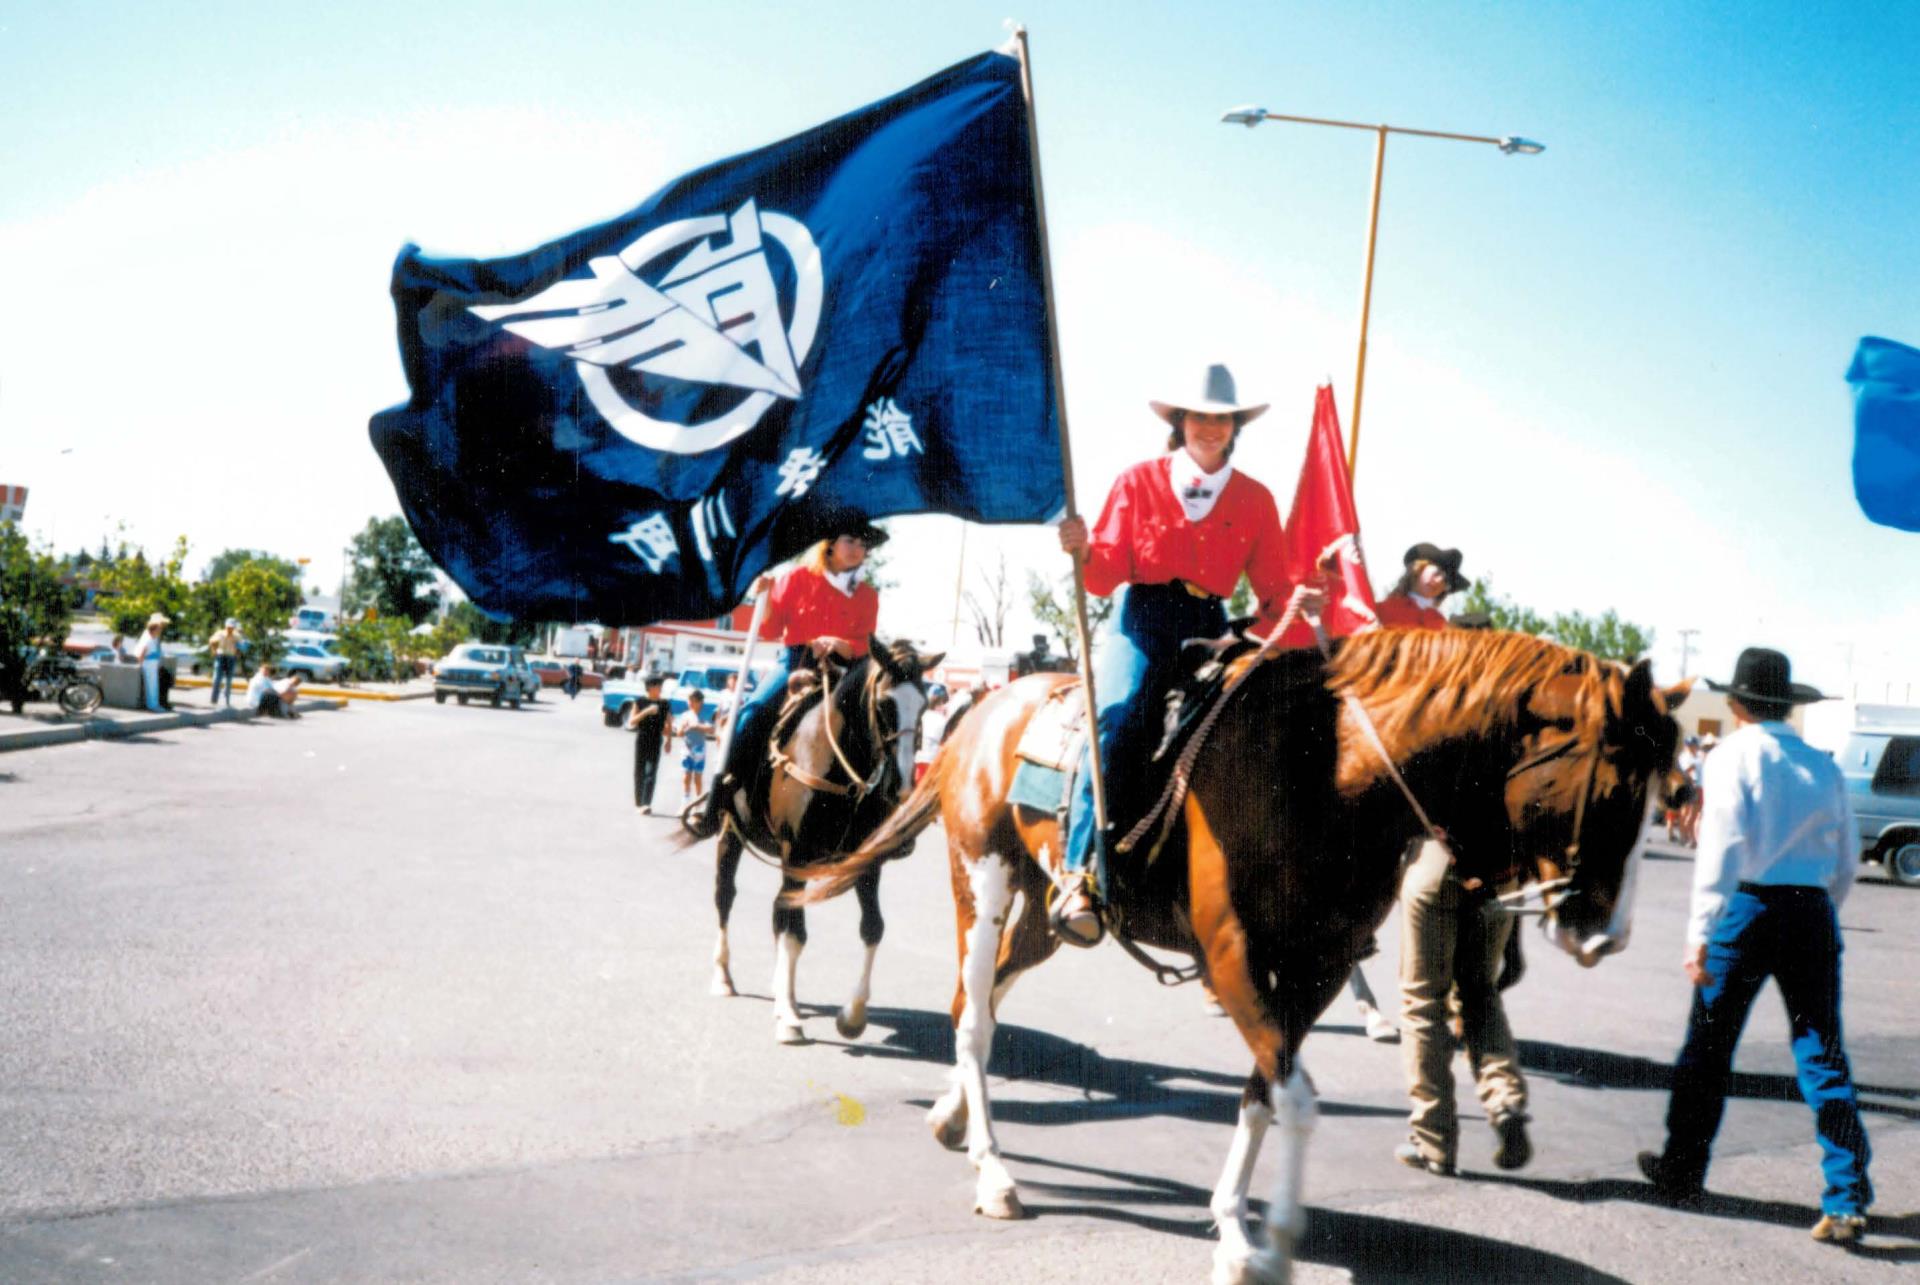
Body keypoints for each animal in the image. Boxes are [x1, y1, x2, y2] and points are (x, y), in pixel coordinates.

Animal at [710, 630, 940, 1044]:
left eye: (925, 706)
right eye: (884, 703)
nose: (900, 787)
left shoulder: (867, 864)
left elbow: (873, 928)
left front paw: (852, 1015)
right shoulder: (796, 854)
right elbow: (795, 931)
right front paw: (788, 1019)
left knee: (778, 912)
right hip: (731, 832)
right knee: (726, 895)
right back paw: (724, 976)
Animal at [787, 630, 1689, 1283]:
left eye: (1670, 792)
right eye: (1617, 788)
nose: (1607, 933)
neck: (1326, 771)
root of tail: (978, 709)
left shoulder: (1316, 973)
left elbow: (1264, 1093)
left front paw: (1238, 1222)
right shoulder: (1233, 959)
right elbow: (1296, 1097)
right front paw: (1264, 1236)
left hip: (1045, 912)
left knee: (978, 1003)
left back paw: (950, 1116)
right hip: (981, 876)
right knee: (973, 1016)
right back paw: (993, 1172)